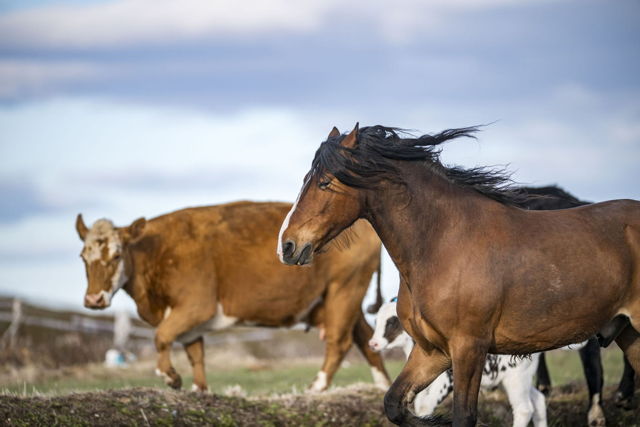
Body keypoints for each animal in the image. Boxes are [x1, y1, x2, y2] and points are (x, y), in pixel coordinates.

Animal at [76, 201, 390, 392]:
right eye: (83, 257)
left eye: (116, 255)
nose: (93, 300)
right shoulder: (190, 322)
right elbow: (196, 354)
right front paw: (199, 390)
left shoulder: (196, 305)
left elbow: (161, 336)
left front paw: (171, 377)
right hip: (341, 300)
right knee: (365, 338)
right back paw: (383, 387)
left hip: (344, 289)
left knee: (339, 341)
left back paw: (315, 389)